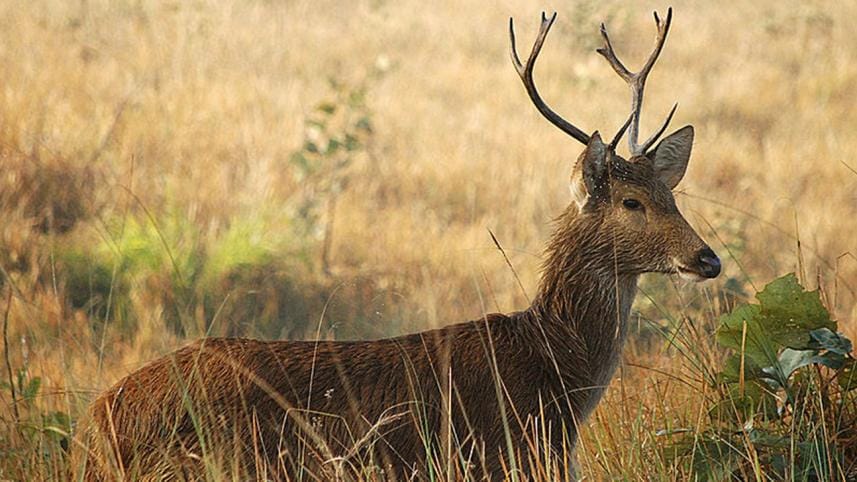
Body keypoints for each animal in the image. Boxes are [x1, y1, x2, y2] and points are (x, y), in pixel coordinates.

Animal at [75, 8, 721, 481]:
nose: (707, 258)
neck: (553, 369)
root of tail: (97, 420)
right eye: (631, 203)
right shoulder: (502, 454)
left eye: (671, 193)